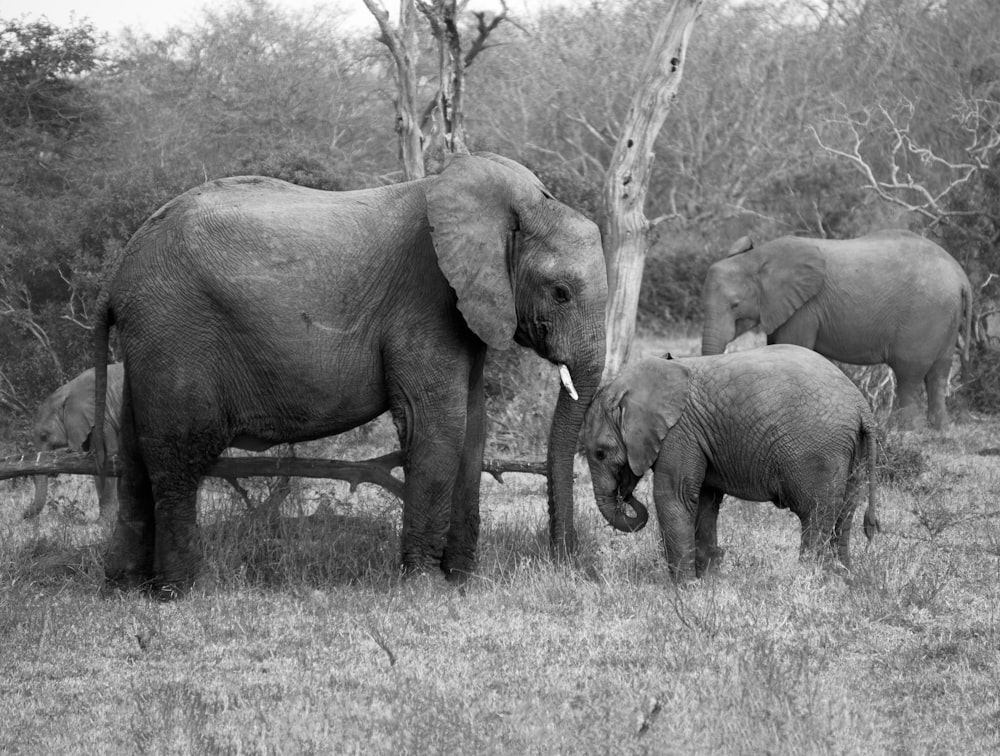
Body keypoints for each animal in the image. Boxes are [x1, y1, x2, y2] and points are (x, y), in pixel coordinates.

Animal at [26, 362, 125, 524]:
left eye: (44, 436)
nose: (23, 515)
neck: (66, 391)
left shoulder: (102, 418)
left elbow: (109, 457)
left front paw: (104, 523)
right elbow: (94, 464)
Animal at [95, 149, 608, 596]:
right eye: (560, 292)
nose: (568, 562)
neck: (513, 204)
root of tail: (116, 278)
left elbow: (473, 428)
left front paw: (465, 583)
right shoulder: (427, 300)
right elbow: (437, 427)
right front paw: (426, 588)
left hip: (152, 342)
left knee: (136, 458)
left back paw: (127, 589)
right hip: (176, 331)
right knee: (178, 456)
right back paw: (182, 591)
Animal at [584, 344, 880, 580]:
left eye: (600, 453)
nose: (626, 494)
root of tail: (860, 404)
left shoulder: (679, 433)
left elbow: (675, 497)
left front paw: (683, 588)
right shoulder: (696, 436)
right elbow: (704, 501)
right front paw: (708, 581)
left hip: (818, 450)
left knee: (816, 513)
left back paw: (807, 577)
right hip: (853, 451)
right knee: (844, 513)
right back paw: (841, 576)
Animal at [700, 229, 972, 432]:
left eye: (735, 305)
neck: (757, 258)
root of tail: (961, 275)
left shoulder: (805, 307)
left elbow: (794, 347)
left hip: (925, 314)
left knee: (909, 373)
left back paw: (904, 432)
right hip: (945, 313)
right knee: (939, 373)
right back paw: (940, 432)